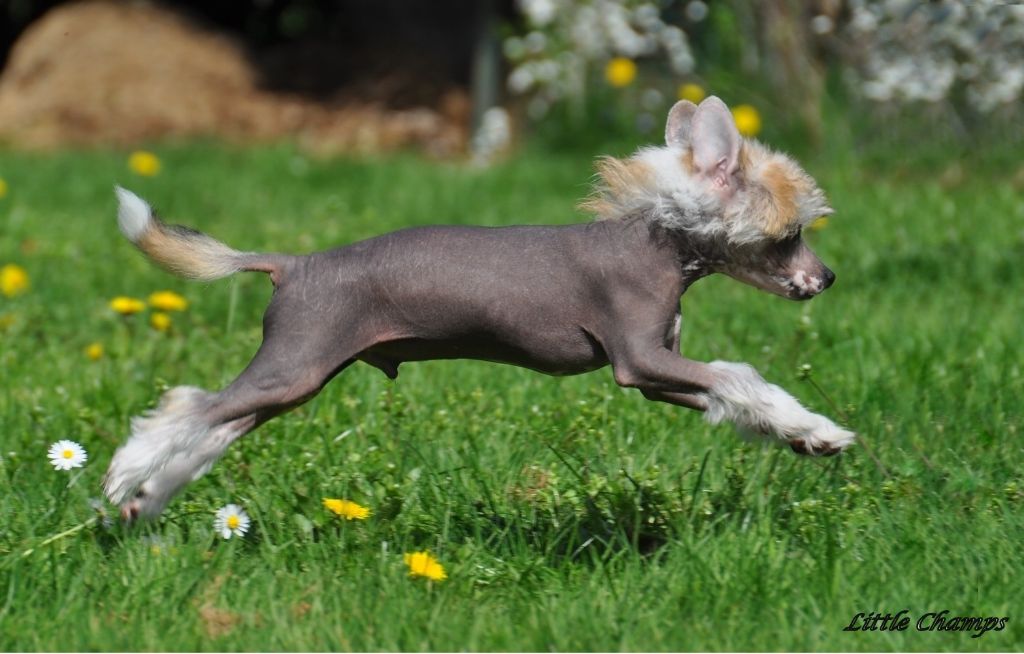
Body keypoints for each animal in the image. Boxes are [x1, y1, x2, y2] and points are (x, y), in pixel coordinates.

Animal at [104, 96, 855, 521]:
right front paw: (812, 425)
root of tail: (293, 264)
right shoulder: (640, 360)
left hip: (291, 382)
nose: (826, 278)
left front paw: (808, 436)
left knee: (214, 430)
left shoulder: (655, 379)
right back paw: (123, 478)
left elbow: (731, 399)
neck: (661, 237)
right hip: (294, 365)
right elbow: (739, 376)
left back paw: (147, 499)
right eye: (789, 234)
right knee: (190, 409)